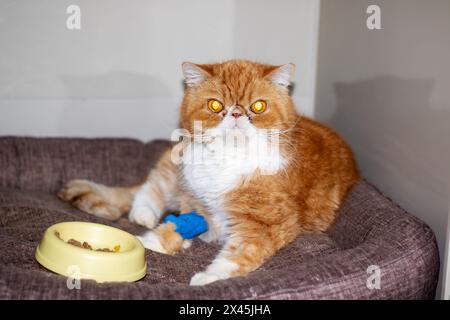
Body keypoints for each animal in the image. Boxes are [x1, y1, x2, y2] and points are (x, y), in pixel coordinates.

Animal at [58, 59, 358, 284]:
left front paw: (207, 277)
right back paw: (141, 212)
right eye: (215, 105)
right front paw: (155, 239)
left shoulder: (266, 224)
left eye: (258, 106)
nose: (236, 114)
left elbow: (239, 254)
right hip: (178, 164)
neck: (228, 159)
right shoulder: (191, 189)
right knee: (150, 186)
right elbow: (170, 217)